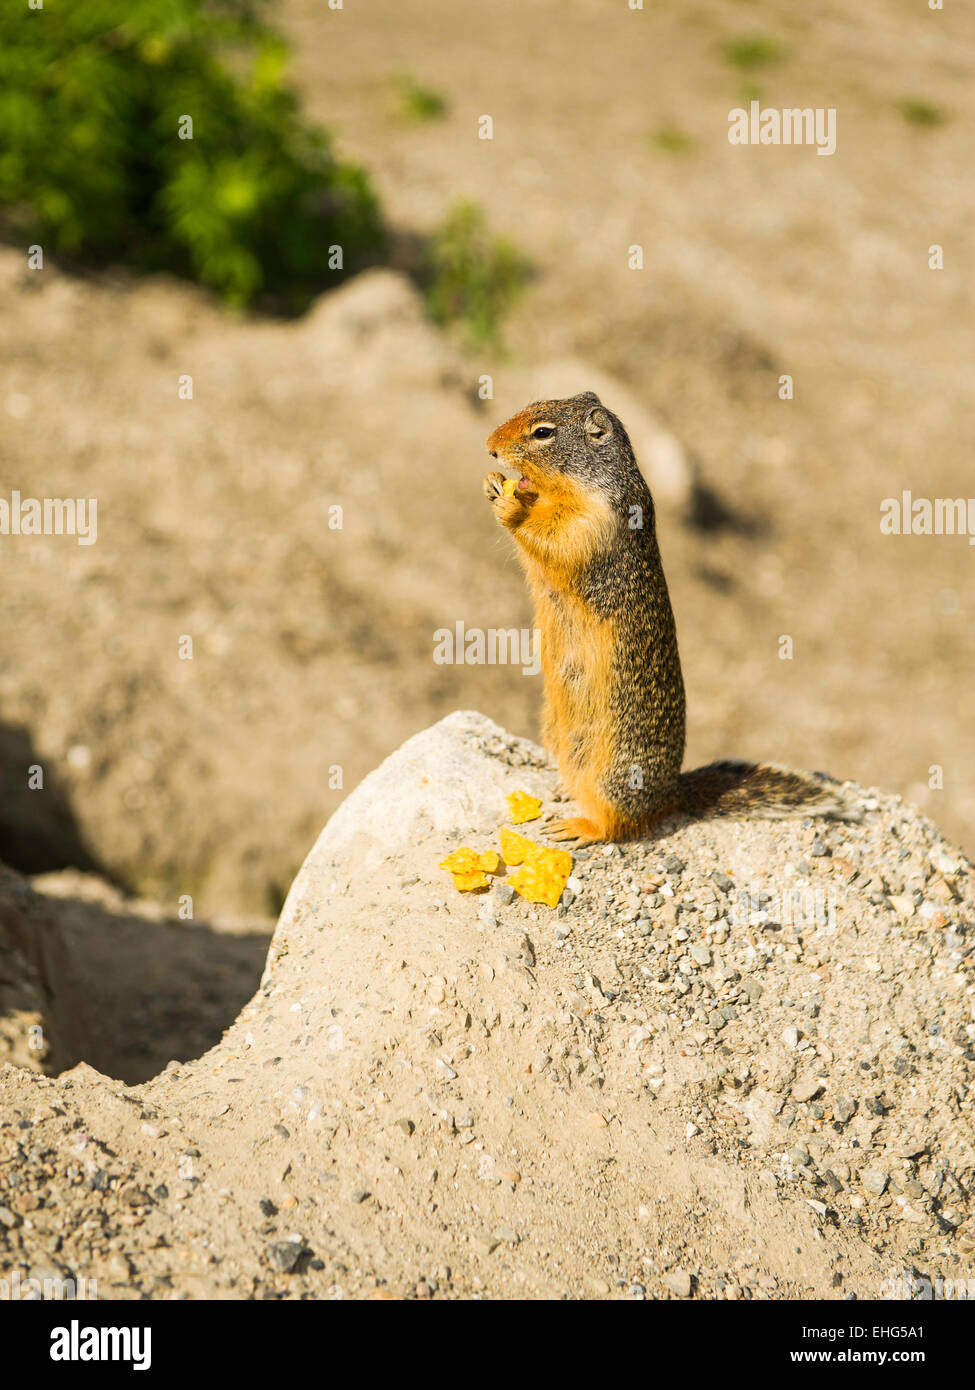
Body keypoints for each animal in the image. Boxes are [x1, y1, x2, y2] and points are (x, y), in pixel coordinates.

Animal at [484, 391, 856, 845]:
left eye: (542, 432)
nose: (490, 447)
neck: (588, 482)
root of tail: (670, 794)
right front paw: (495, 485)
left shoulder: (593, 522)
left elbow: (553, 539)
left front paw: (509, 504)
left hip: (614, 777)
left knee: (617, 825)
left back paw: (577, 826)